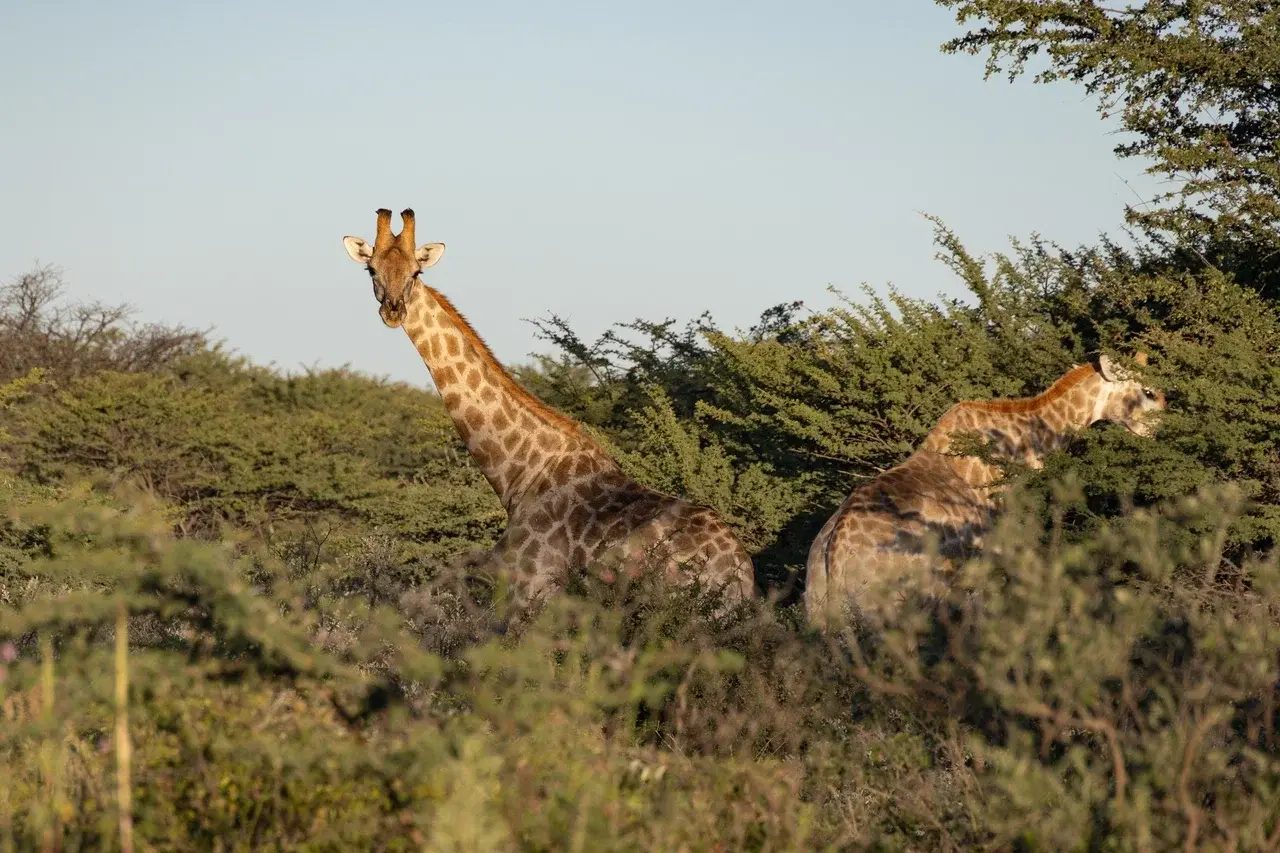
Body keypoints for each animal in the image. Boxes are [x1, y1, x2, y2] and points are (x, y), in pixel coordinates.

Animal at [342, 208, 755, 617]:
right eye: (371, 270)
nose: (393, 311)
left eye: (416, 272)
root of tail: (739, 575)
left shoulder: (530, 591)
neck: (521, 474)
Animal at [805, 353, 1166, 629]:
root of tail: (834, 551)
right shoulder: (989, 554)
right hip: (889, 606)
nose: (1163, 430)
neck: (1019, 450)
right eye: (1149, 392)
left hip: (819, 608)